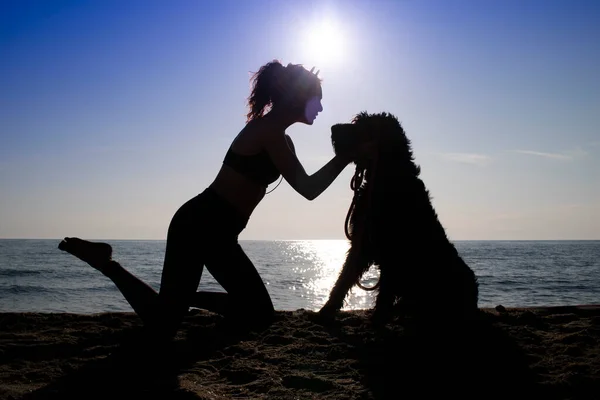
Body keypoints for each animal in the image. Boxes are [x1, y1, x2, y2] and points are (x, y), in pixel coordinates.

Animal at [318, 111, 478, 324]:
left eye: (362, 126)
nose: (333, 128)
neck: (386, 176)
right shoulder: (362, 242)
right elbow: (345, 277)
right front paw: (327, 309)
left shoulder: (392, 249)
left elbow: (384, 290)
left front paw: (378, 318)